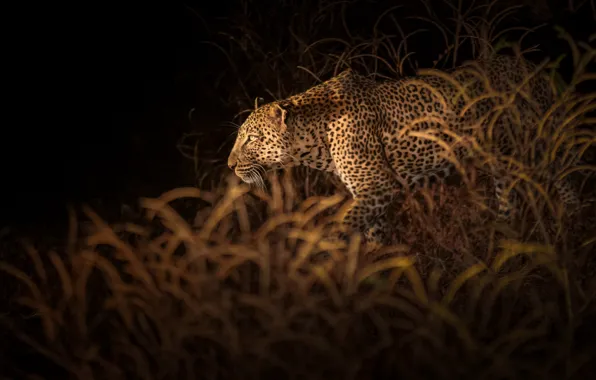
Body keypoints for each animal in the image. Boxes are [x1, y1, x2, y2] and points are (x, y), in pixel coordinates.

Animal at [227, 52, 584, 243]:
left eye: (251, 138)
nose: (230, 165)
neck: (315, 139)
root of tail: (533, 68)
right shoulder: (368, 193)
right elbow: (372, 232)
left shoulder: (378, 185)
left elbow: (343, 225)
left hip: (534, 144)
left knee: (562, 173)